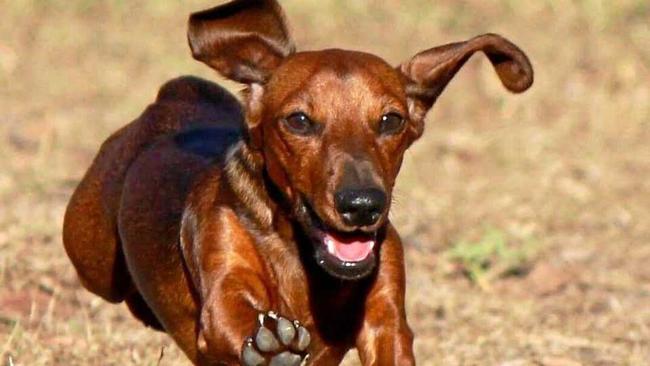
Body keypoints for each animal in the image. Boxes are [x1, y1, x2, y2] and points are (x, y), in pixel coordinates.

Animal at [60, 1, 528, 364]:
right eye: (299, 120)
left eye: (390, 120)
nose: (362, 205)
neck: (306, 263)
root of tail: (174, 94)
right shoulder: (223, 289)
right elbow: (232, 315)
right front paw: (273, 347)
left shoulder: (386, 319)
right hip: (92, 257)